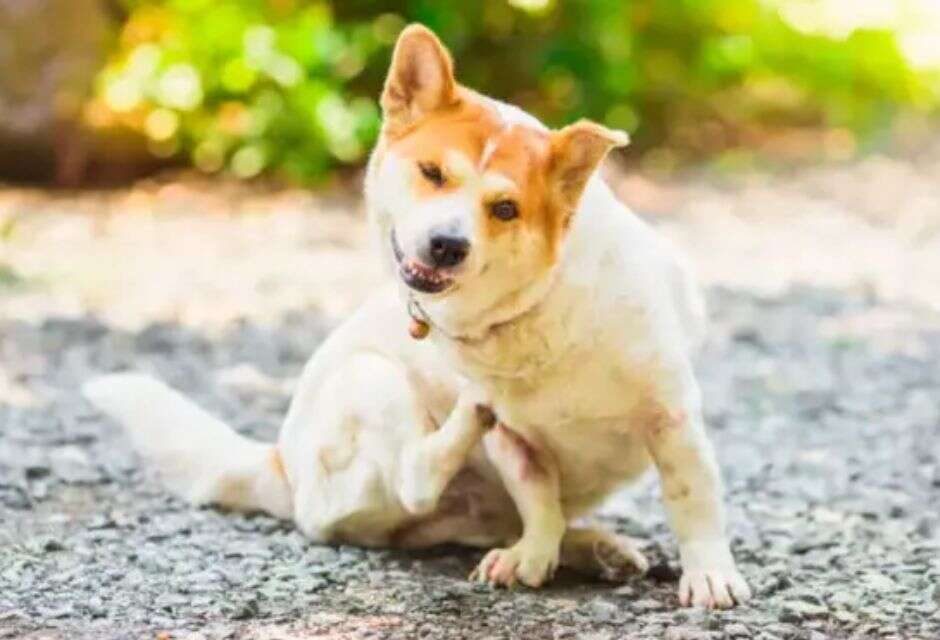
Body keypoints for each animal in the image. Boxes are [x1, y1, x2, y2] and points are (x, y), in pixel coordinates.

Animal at [82, 22, 748, 608]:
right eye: (432, 173)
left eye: (505, 208)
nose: (447, 245)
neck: (536, 308)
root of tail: (280, 464)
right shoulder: (514, 442)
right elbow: (537, 496)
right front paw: (534, 553)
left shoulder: (670, 416)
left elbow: (691, 496)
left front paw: (708, 574)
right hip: (371, 380)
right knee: (416, 478)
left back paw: (591, 547)